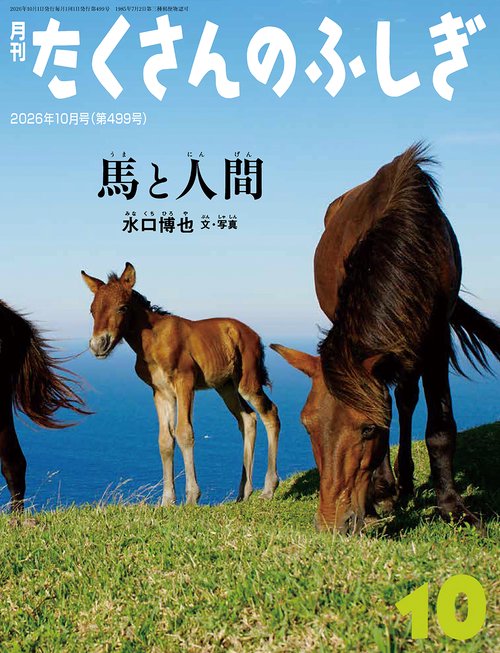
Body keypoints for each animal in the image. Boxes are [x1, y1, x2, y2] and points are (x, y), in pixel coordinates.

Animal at [81, 263, 280, 505]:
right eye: (92, 310)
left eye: (122, 308)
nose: (98, 345)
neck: (152, 342)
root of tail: (256, 336)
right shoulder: (160, 392)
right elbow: (165, 441)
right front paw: (167, 501)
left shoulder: (184, 382)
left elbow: (184, 433)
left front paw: (192, 497)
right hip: (225, 386)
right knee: (248, 419)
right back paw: (244, 492)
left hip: (247, 381)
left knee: (270, 413)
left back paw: (269, 488)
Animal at [272, 143, 500, 533]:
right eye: (307, 426)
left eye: (367, 430)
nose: (332, 524)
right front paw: (377, 497)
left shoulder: (436, 337)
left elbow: (438, 428)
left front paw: (452, 508)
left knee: (406, 400)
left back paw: (404, 483)